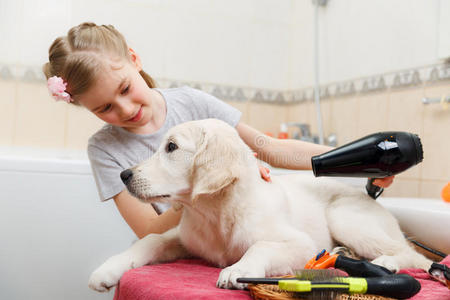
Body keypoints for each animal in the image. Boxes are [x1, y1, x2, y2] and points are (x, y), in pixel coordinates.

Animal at [89, 118, 432, 292]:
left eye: (171, 147)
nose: (124, 175)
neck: (215, 213)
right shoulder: (181, 236)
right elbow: (150, 239)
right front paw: (108, 269)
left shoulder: (300, 244)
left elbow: (260, 246)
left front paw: (238, 269)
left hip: (344, 216)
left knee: (413, 254)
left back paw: (387, 263)